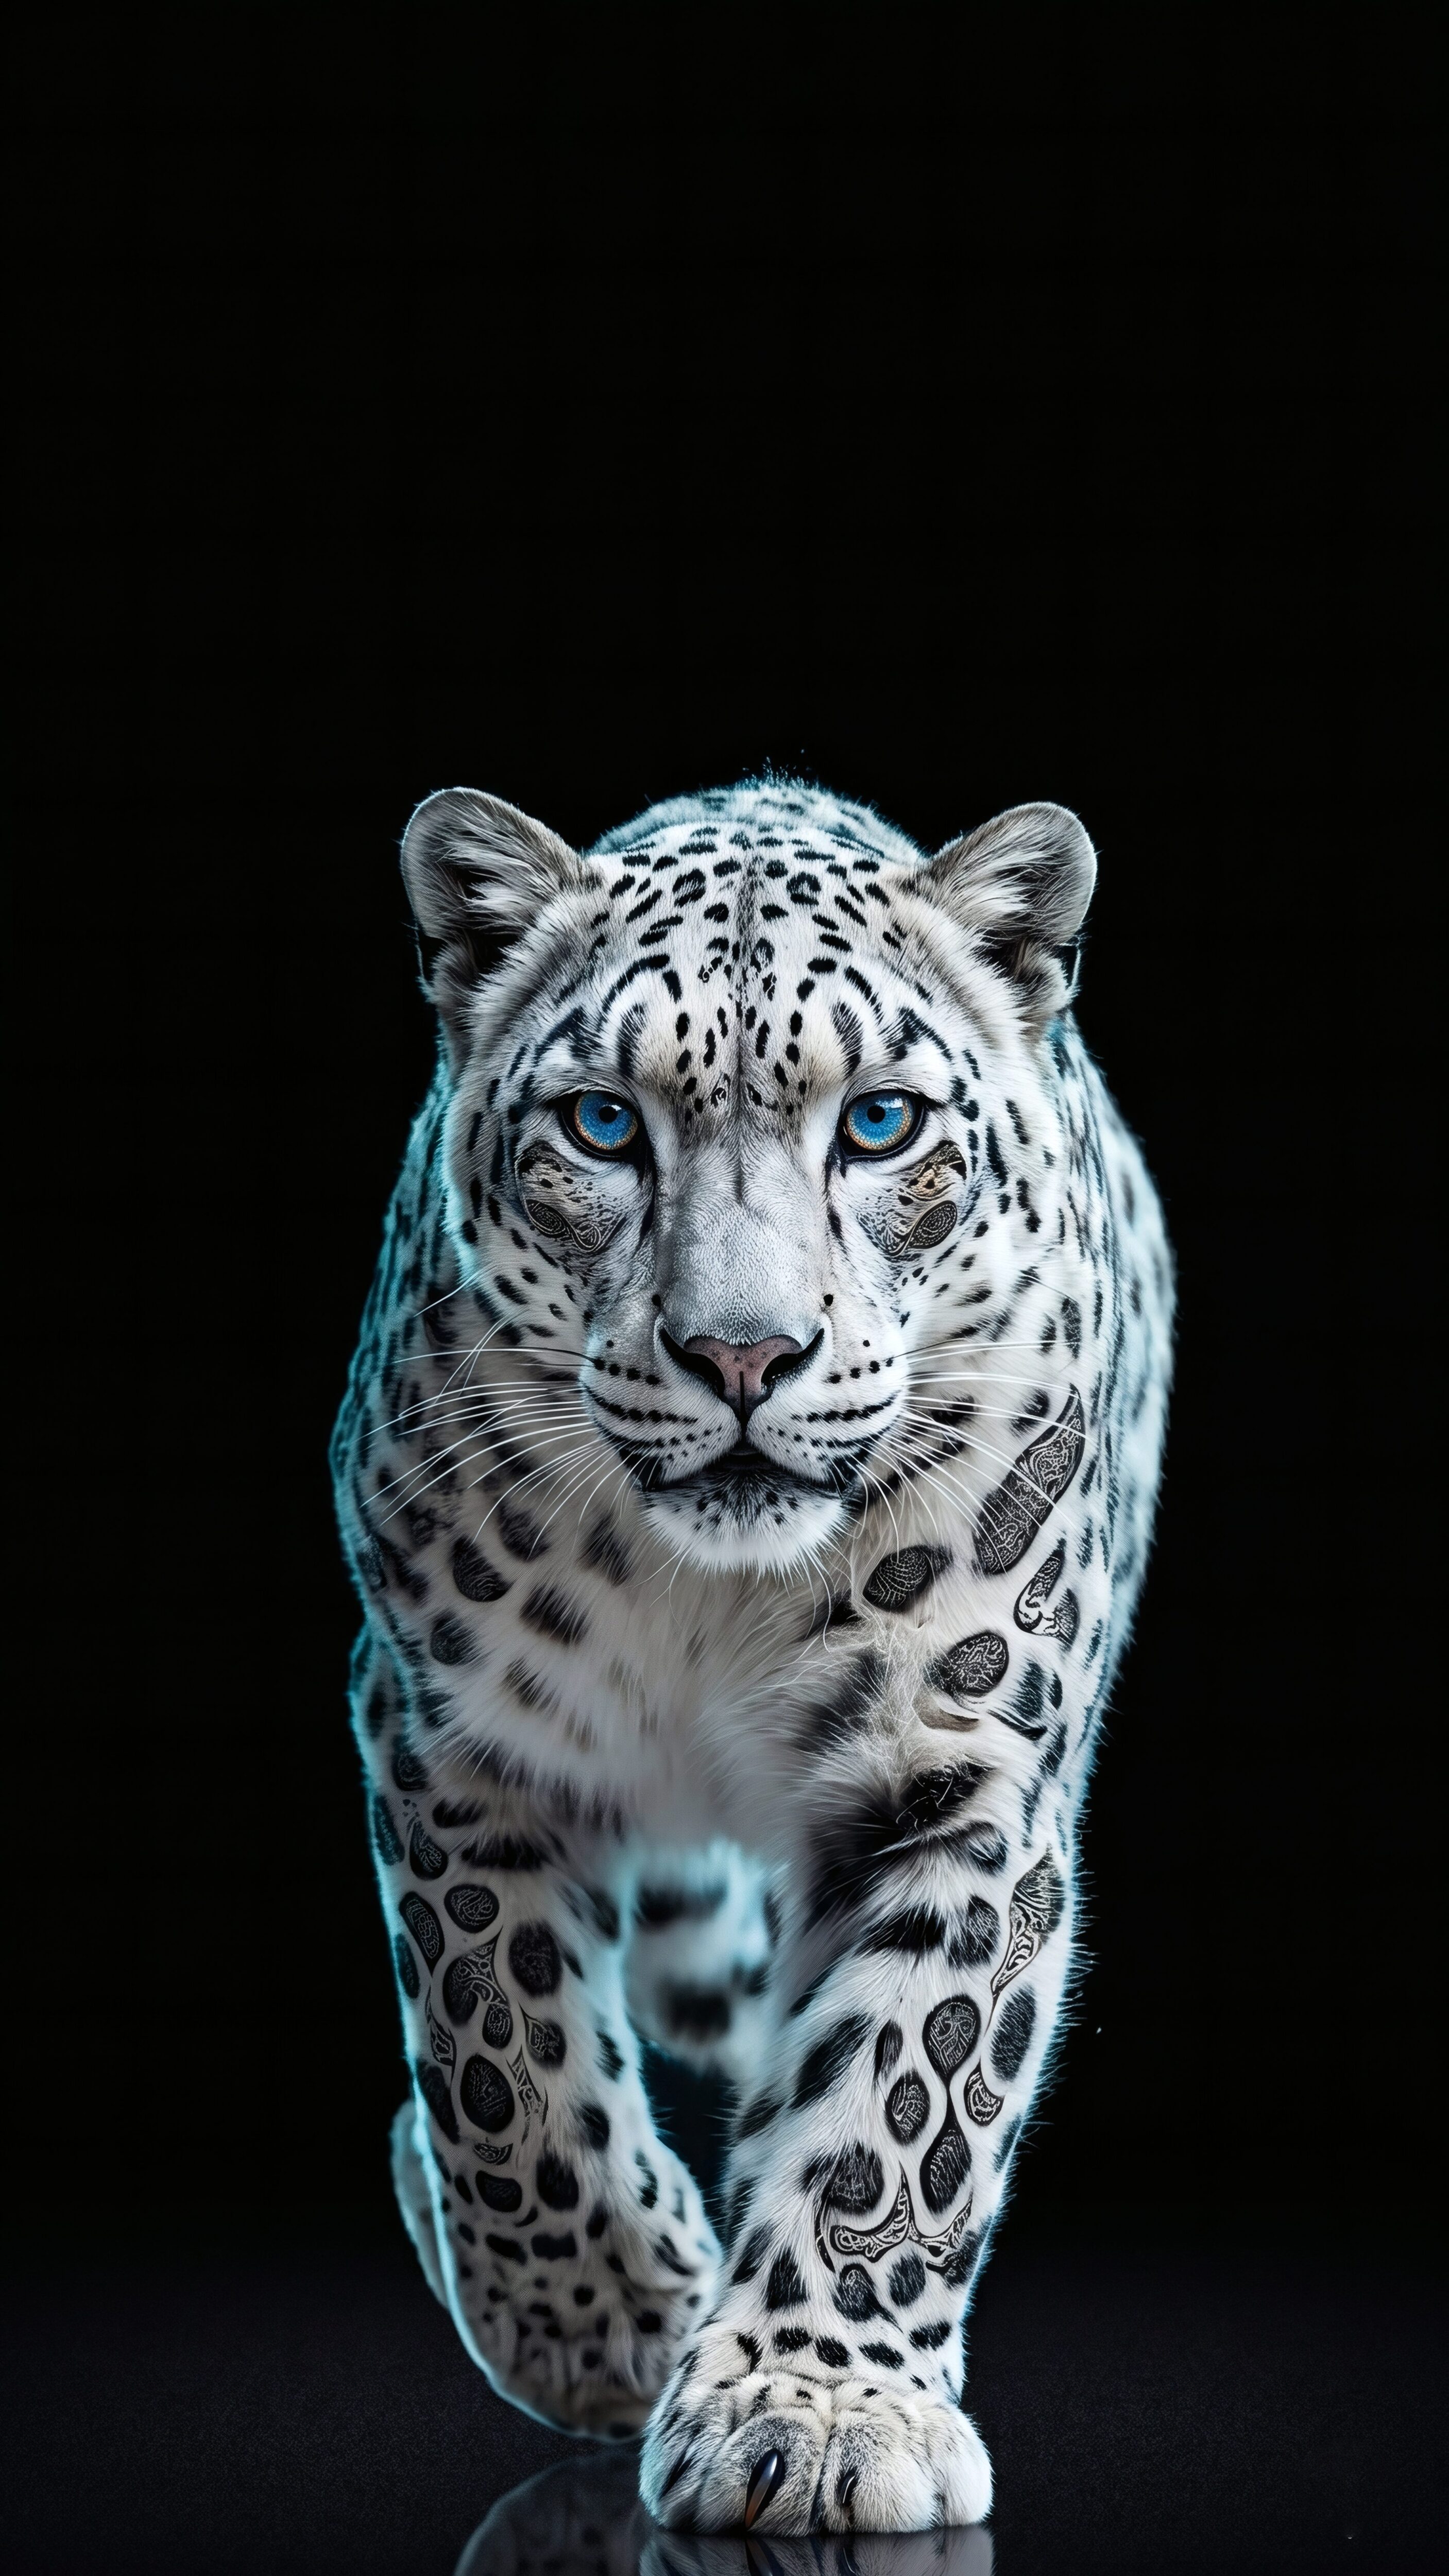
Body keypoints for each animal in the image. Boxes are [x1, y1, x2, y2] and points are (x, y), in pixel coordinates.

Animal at [331, 774, 1173, 2537]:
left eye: (879, 1125)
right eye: (601, 1126)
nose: (740, 1353)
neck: (709, 1603)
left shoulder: (961, 1776)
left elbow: (901, 2099)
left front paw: (819, 2408)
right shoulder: (451, 1735)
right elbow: (498, 2053)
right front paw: (599, 2326)